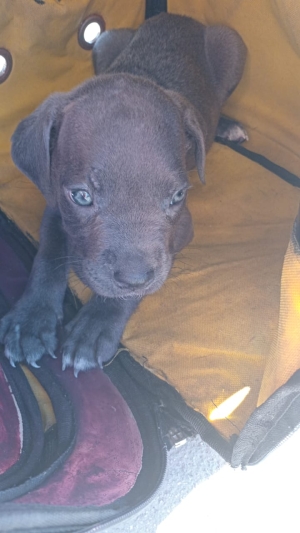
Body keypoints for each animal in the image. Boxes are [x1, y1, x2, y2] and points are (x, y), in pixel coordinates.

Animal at [0, 13, 247, 374]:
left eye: (177, 196)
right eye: (82, 197)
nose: (134, 278)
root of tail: (180, 16)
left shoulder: (181, 229)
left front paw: (96, 325)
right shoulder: (55, 203)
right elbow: (48, 253)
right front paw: (31, 321)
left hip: (233, 47)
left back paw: (227, 126)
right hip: (104, 42)